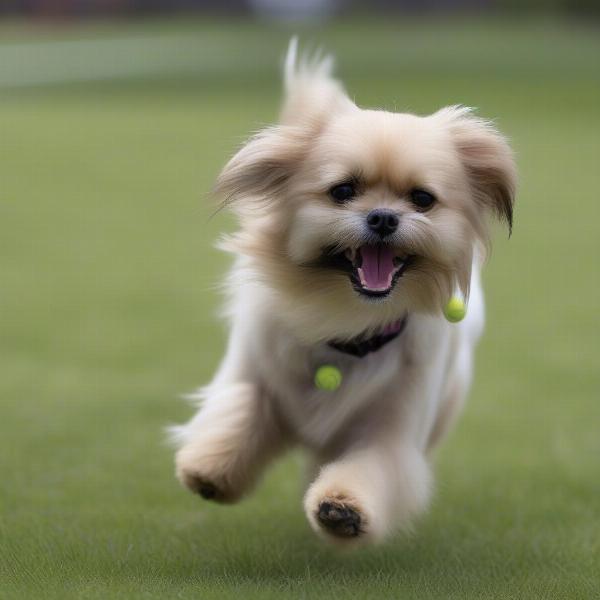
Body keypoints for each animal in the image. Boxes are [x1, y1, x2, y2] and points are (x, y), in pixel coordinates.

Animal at [172, 39, 516, 548]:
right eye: (343, 190)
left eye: (422, 199)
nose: (383, 217)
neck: (345, 320)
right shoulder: (252, 369)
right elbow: (241, 408)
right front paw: (211, 470)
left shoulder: (391, 429)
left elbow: (371, 467)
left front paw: (341, 511)